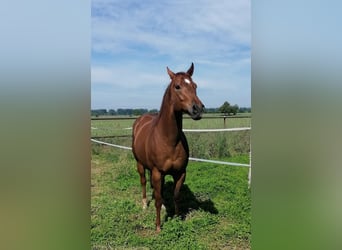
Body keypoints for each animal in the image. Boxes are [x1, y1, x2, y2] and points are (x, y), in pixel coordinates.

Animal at [132, 63, 204, 231]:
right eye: (177, 86)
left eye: (195, 85)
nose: (198, 109)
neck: (168, 140)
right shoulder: (157, 172)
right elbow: (157, 200)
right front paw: (158, 226)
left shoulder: (180, 173)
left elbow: (176, 196)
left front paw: (177, 218)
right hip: (140, 164)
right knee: (144, 182)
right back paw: (144, 204)